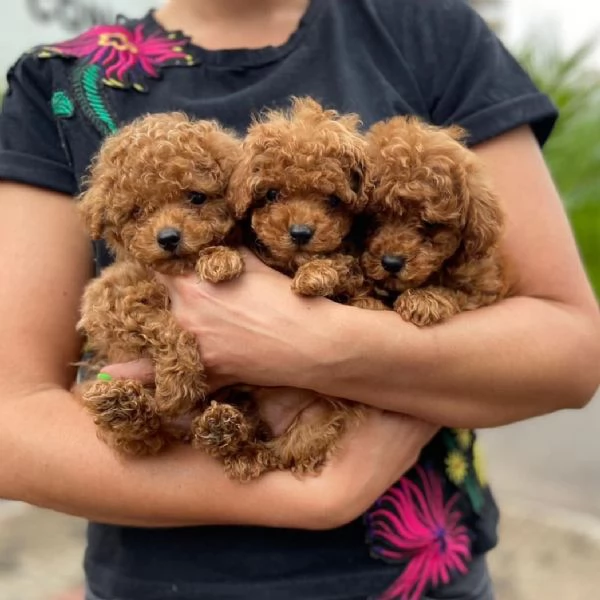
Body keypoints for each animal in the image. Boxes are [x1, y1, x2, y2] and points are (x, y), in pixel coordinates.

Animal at [78, 111, 245, 454]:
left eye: (196, 197)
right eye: (137, 211)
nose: (168, 238)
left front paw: (221, 258)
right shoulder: (107, 299)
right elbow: (163, 326)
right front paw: (178, 384)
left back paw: (222, 427)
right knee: (143, 433)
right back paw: (121, 408)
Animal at [192, 99, 372, 482]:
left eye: (332, 200)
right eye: (272, 194)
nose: (301, 232)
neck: (288, 262)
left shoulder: (350, 269)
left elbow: (340, 265)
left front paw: (315, 274)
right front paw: (218, 259)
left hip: (316, 419)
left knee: (285, 451)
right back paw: (224, 434)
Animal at [360, 114, 506, 326]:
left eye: (429, 223)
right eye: (374, 216)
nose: (391, 263)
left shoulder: (480, 290)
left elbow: (457, 293)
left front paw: (423, 301)